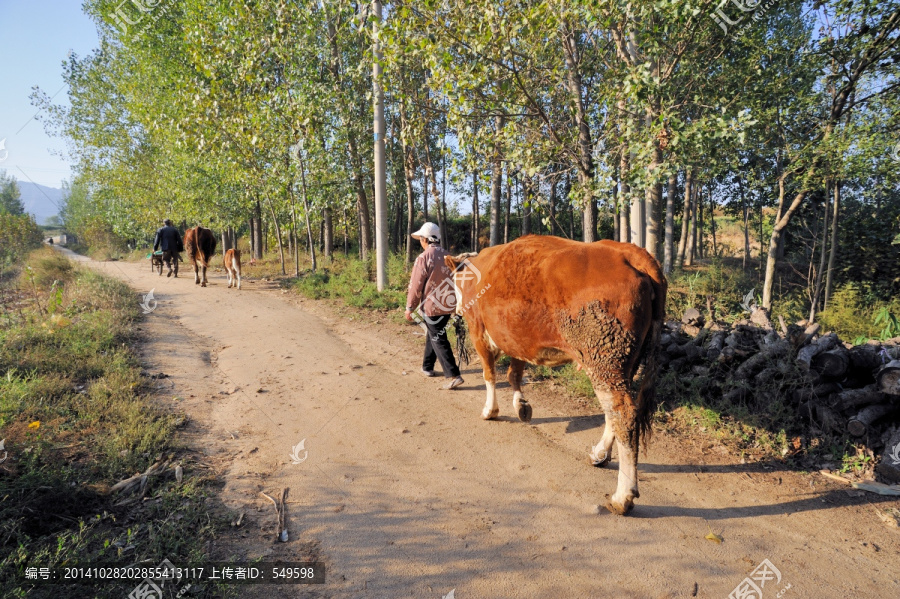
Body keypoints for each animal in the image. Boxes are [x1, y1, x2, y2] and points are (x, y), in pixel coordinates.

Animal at [446, 236, 664, 516]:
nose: (457, 309)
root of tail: (629, 251)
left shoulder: (478, 330)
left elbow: (489, 374)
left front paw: (490, 410)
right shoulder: (517, 337)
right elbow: (514, 373)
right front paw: (521, 405)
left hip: (604, 357)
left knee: (622, 413)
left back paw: (622, 496)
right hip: (622, 361)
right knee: (615, 412)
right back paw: (600, 454)